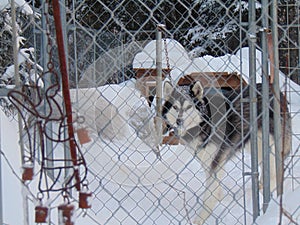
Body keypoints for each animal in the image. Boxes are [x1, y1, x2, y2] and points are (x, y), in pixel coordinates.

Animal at [162, 81, 290, 225]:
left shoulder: (215, 161)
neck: (206, 122)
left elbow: (210, 195)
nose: (179, 121)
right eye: (175, 107)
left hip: (269, 143)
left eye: (189, 106)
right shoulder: (207, 160)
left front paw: (200, 219)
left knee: (274, 171)